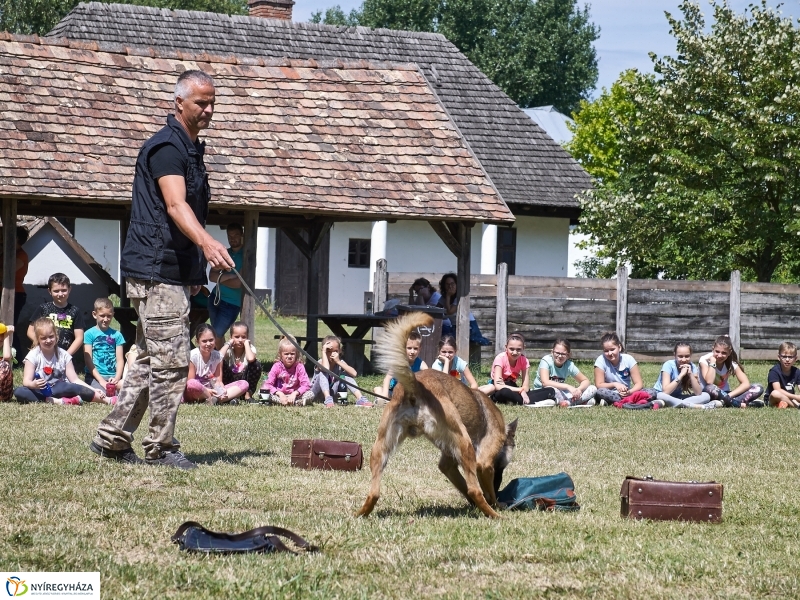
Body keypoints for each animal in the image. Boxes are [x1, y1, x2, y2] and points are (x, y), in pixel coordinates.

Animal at [356, 312, 520, 516]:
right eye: (501, 467)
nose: (499, 485)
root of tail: (416, 386)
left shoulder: (448, 463)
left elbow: (462, 485)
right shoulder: (484, 463)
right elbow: (482, 489)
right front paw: (497, 503)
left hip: (380, 449)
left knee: (374, 493)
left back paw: (360, 514)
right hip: (464, 443)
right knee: (475, 490)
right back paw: (495, 515)